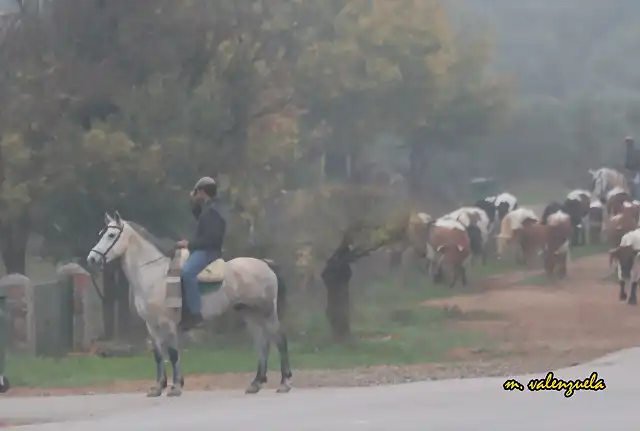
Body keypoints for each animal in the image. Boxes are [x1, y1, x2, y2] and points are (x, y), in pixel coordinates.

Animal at [87, 213, 292, 398]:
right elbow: (159, 355)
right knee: (262, 343)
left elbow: (173, 353)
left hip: (267, 312)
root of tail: (266, 264)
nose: (92, 259)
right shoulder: (151, 325)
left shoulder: (168, 323)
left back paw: (284, 383)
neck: (155, 275)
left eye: (111, 235)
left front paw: (176, 387)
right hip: (251, 314)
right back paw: (256, 383)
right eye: (103, 233)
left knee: (280, 340)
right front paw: (158, 387)